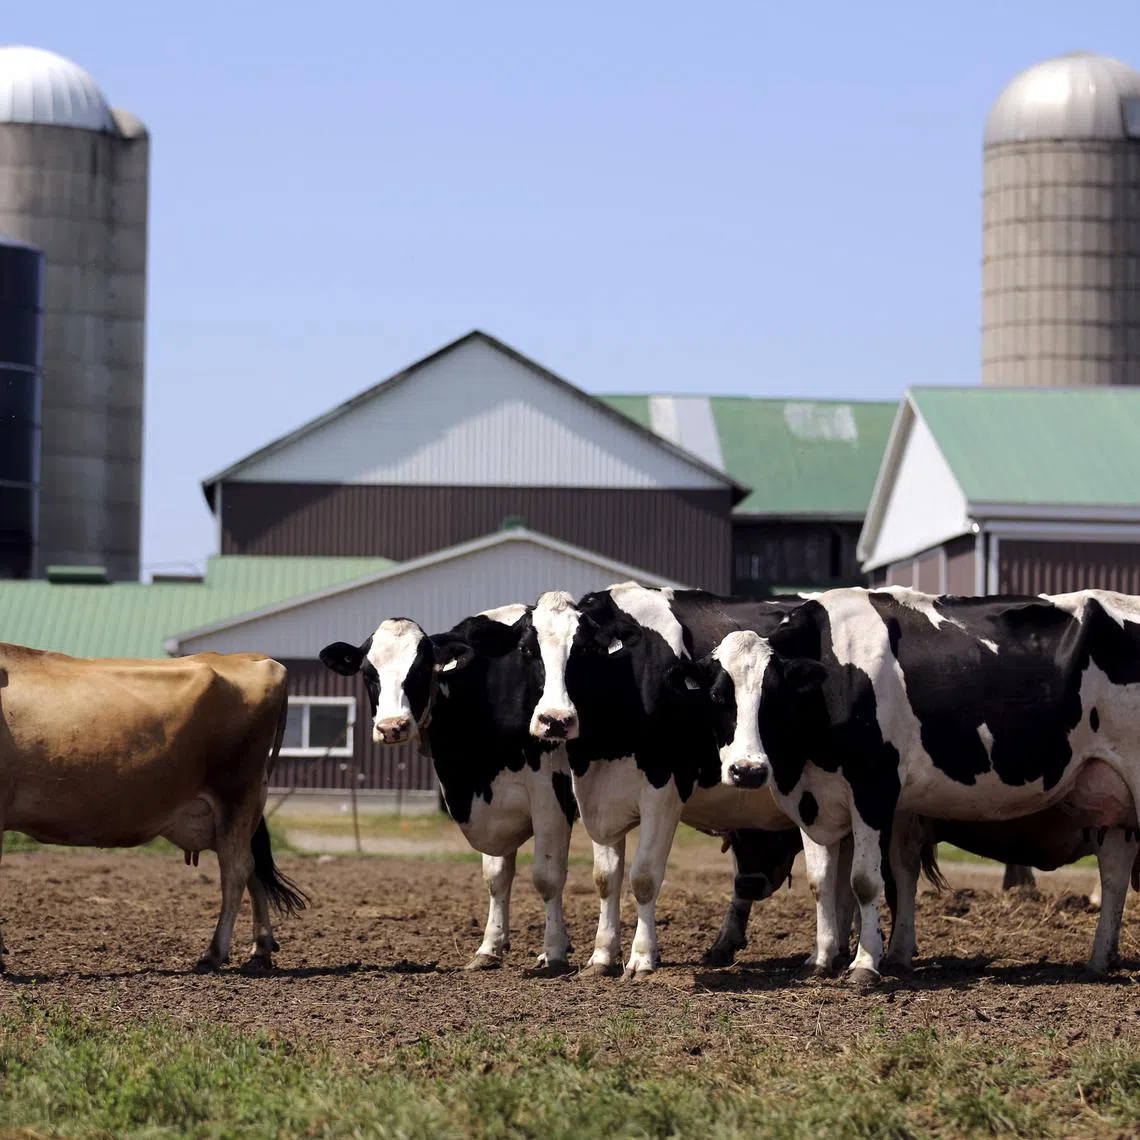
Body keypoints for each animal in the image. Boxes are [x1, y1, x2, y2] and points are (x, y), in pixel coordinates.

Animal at [0, 644, 307, 973]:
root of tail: (254, 658)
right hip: (239, 810)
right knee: (253, 869)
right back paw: (260, 951)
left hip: (236, 795)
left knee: (236, 870)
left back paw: (213, 953)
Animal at [318, 605, 578, 974]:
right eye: (369, 674)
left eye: (421, 669)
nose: (392, 727)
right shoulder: (490, 805)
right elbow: (496, 876)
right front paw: (489, 948)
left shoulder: (551, 797)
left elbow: (548, 876)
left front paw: (554, 953)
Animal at [685, 585, 1140, 983]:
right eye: (718, 696)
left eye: (774, 695)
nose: (747, 770)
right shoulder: (813, 800)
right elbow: (822, 883)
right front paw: (821, 958)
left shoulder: (874, 788)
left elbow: (864, 882)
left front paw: (865, 964)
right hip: (1112, 803)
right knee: (1115, 875)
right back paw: (1099, 959)